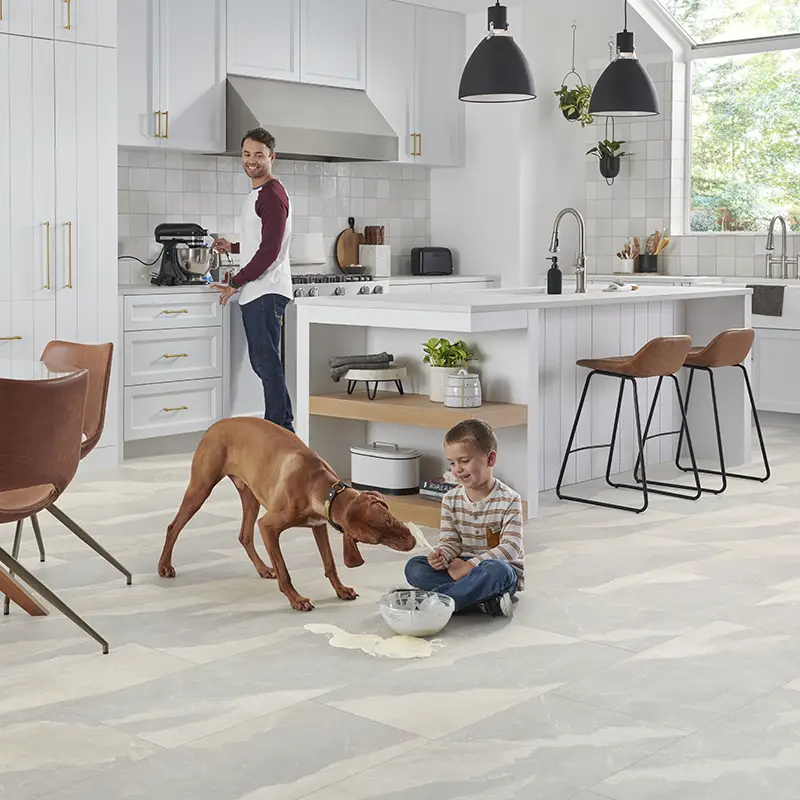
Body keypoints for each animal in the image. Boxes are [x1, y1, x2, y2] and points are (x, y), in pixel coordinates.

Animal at [158, 416, 418, 608]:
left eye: (387, 518)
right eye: (374, 540)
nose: (412, 542)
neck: (320, 485)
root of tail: (216, 424)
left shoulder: (318, 526)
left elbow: (330, 564)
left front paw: (341, 589)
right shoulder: (269, 527)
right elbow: (285, 572)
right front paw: (297, 599)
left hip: (251, 496)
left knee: (244, 536)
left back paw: (263, 568)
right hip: (200, 489)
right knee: (173, 527)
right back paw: (164, 566)